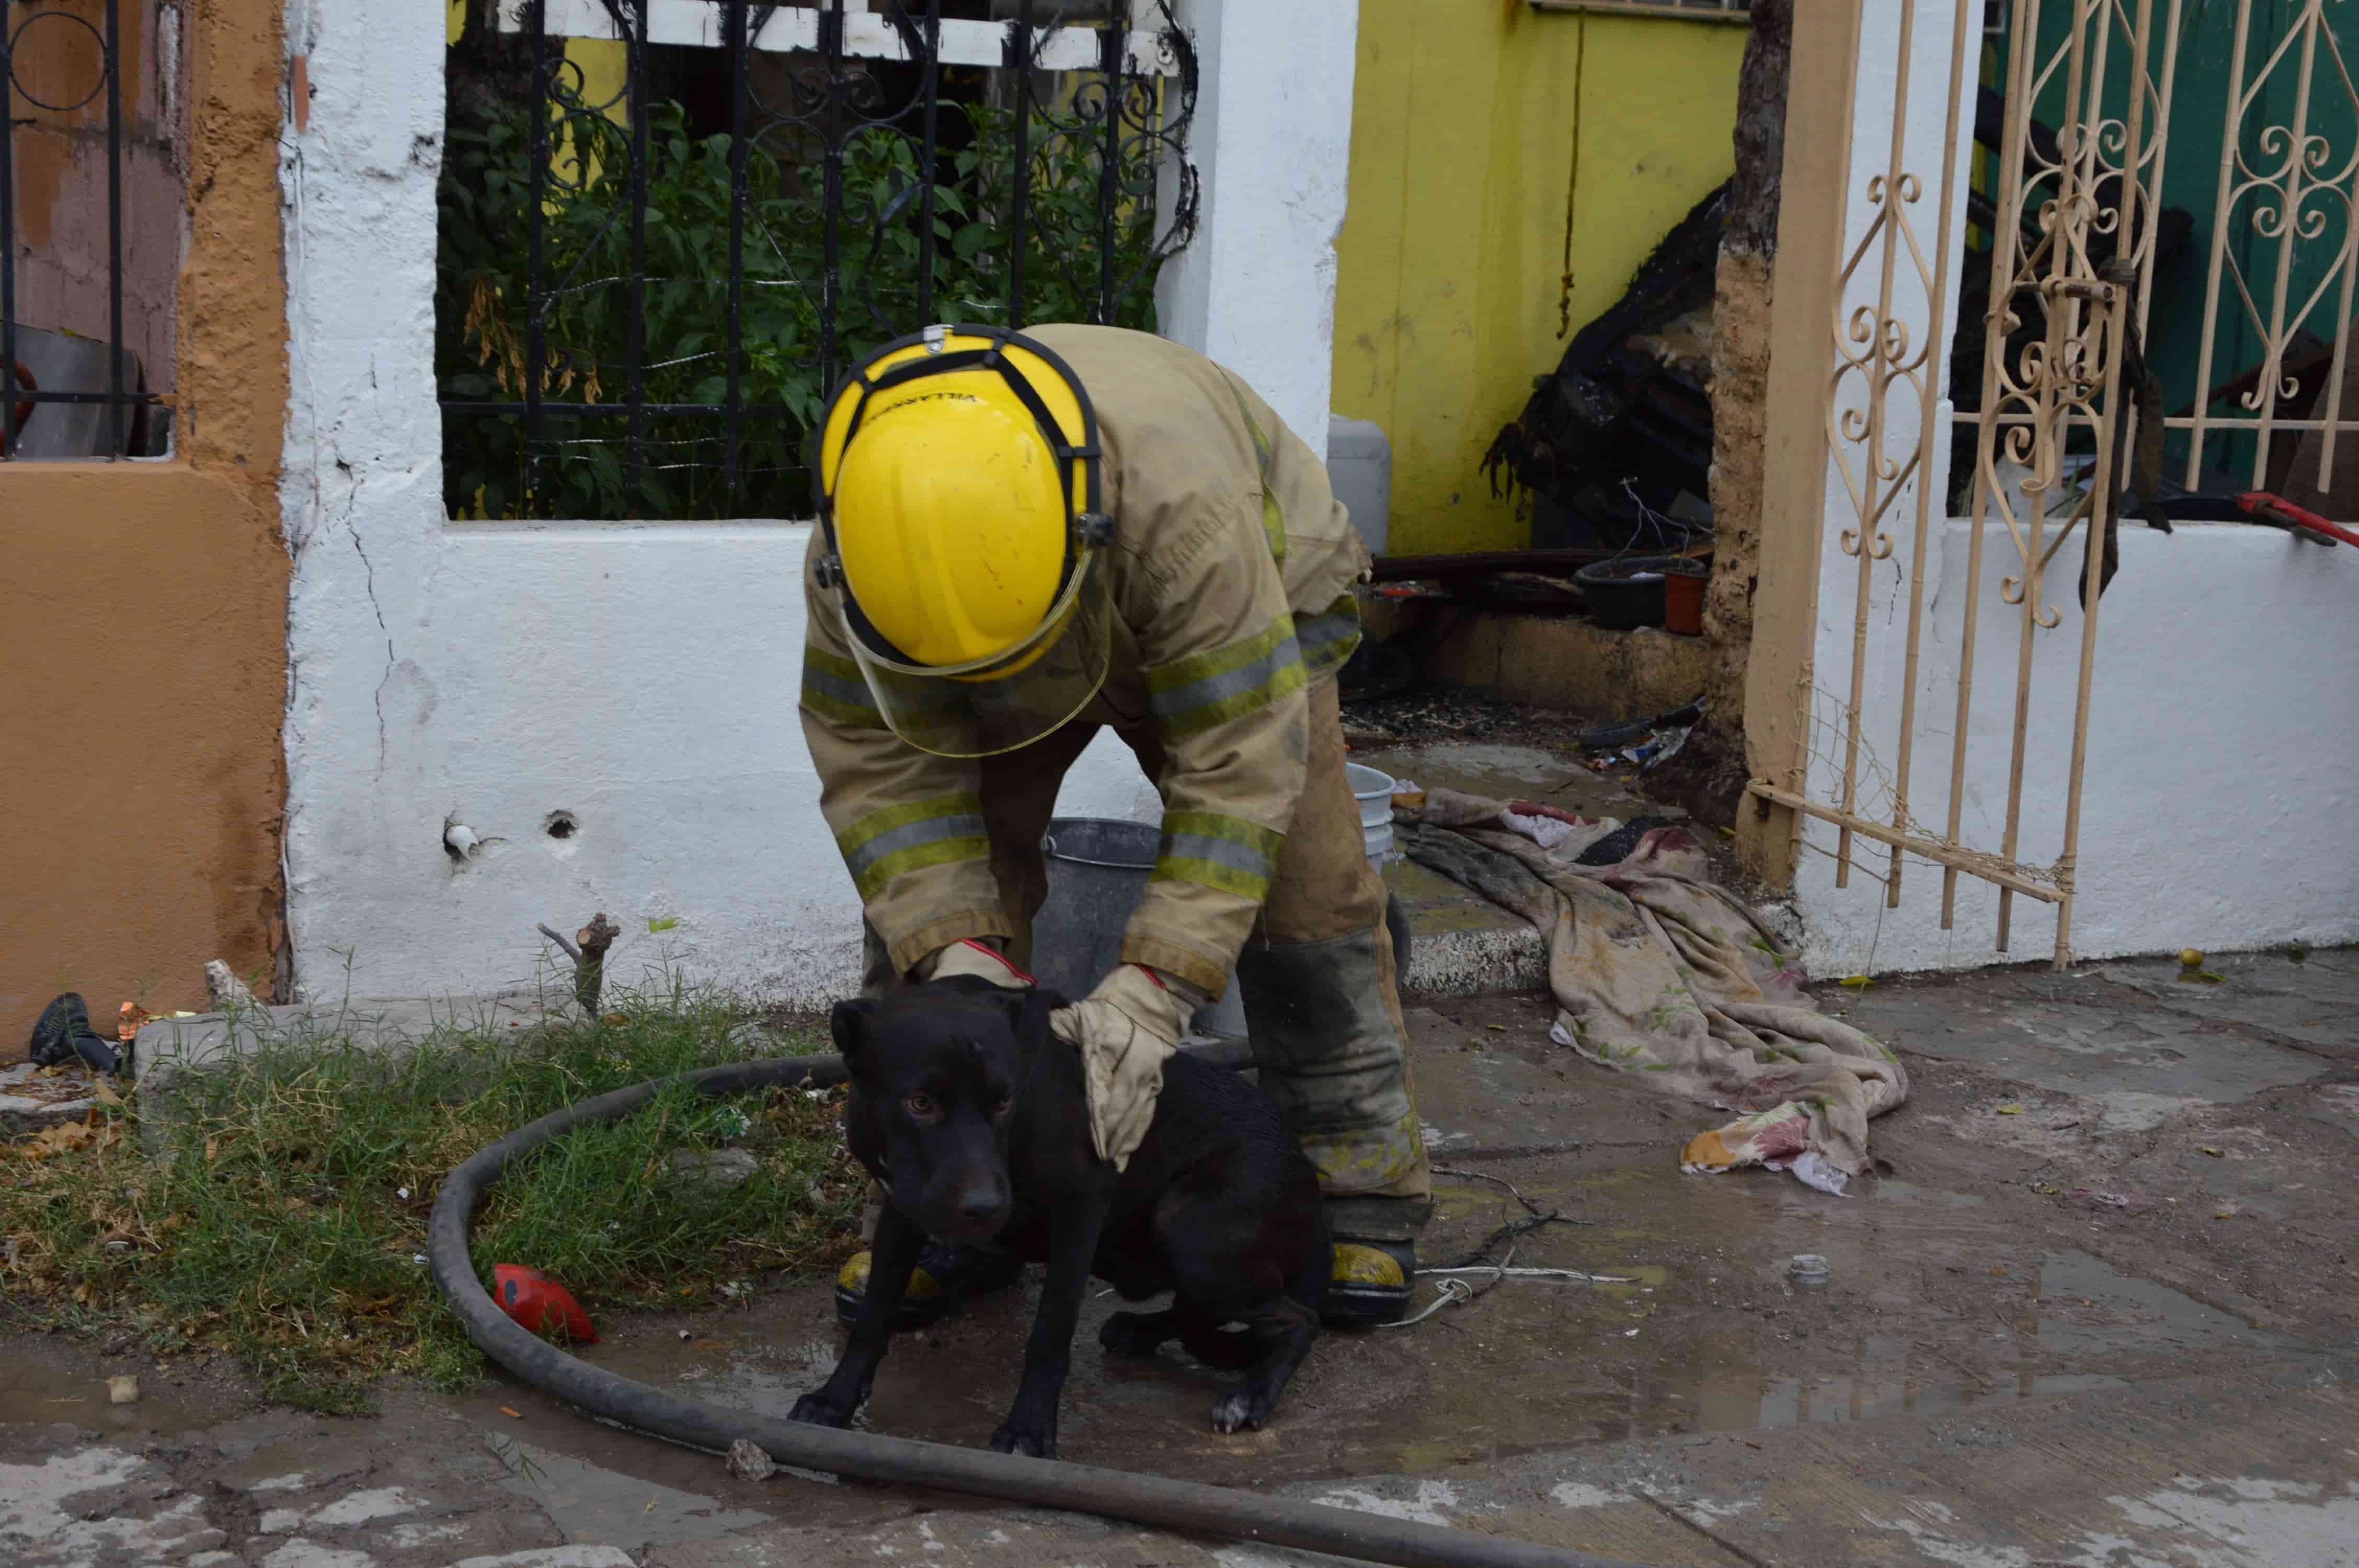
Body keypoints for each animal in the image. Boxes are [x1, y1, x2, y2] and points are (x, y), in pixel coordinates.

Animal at [793, 981, 1339, 1452]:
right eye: (920, 1103)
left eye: (1004, 1102)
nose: (986, 1209)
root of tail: (1308, 1177)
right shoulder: (902, 1210)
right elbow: (873, 1313)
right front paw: (836, 1398)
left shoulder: (1080, 1213)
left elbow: (1050, 1335)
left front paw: (1029, 1429)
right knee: (1200, 1315)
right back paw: (1141, 1332)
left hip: (1189, 1227)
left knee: (1300, 1319)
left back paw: (1251, 1395)